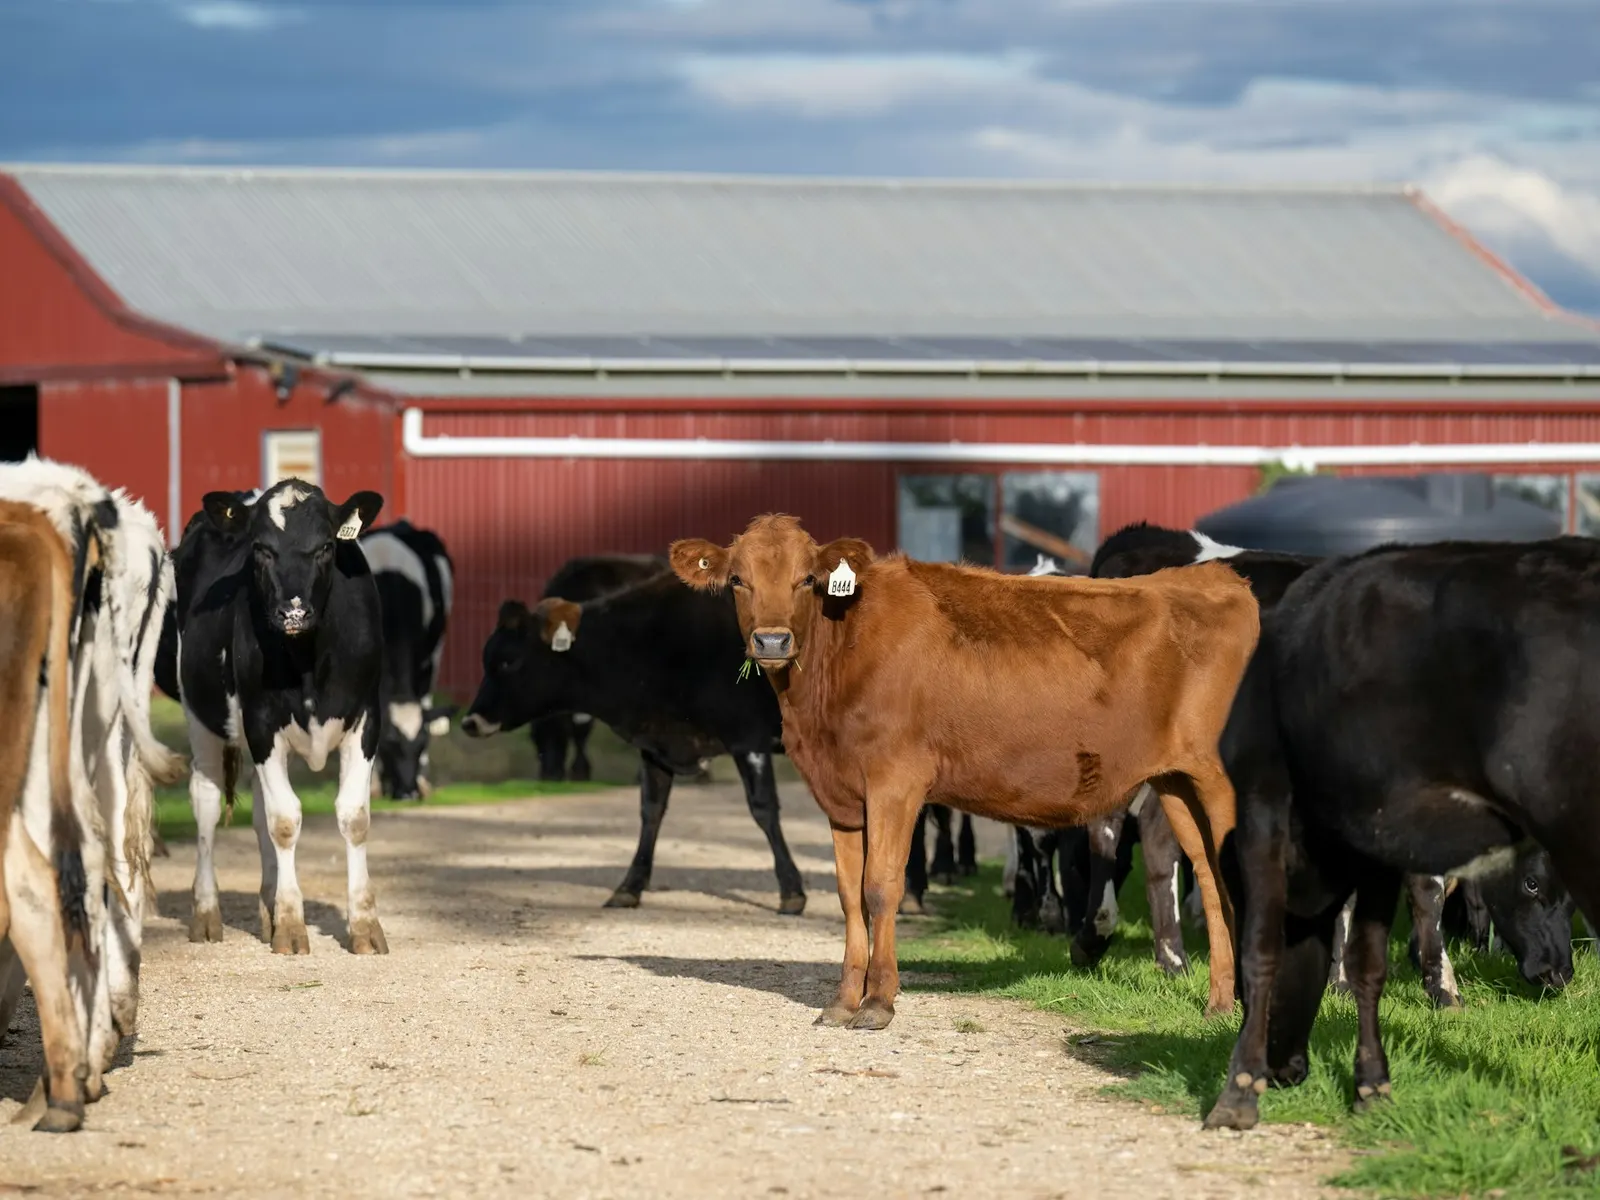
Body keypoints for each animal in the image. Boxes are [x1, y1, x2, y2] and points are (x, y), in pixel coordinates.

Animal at [173, 479, 388, 955]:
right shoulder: (261, 721)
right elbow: (286, 821)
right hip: (200, 714)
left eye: (326, 546)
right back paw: (207, 913)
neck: (307, 660)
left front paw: (364, 925)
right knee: (206, 803)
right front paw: (291, 925)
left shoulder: (366, 718)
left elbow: (354, 817)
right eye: (260, 549)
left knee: (257, 814)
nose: (293, 612)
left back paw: (267, 908)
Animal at [669, 513, 1260, 1028]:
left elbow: (880, 887)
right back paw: (1220, 1005)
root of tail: (1216, 579)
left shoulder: (895, 782)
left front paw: (878, 1003)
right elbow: (847, 893)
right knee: (1210, 879)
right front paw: (842, 1001)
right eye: (738, 579)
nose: (772, 641)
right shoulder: (841, 796)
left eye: (808, 579)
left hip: (1220, 781)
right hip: (1179, 782)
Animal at [1206, 535, 1600, 1131]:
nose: (1287, 1068)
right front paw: (1372, 1085)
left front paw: (1239, 1090)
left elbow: (1266, 948)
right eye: (1534, 885)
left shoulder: (1263, 803)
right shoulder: (1368, 845)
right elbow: (1366, 963)